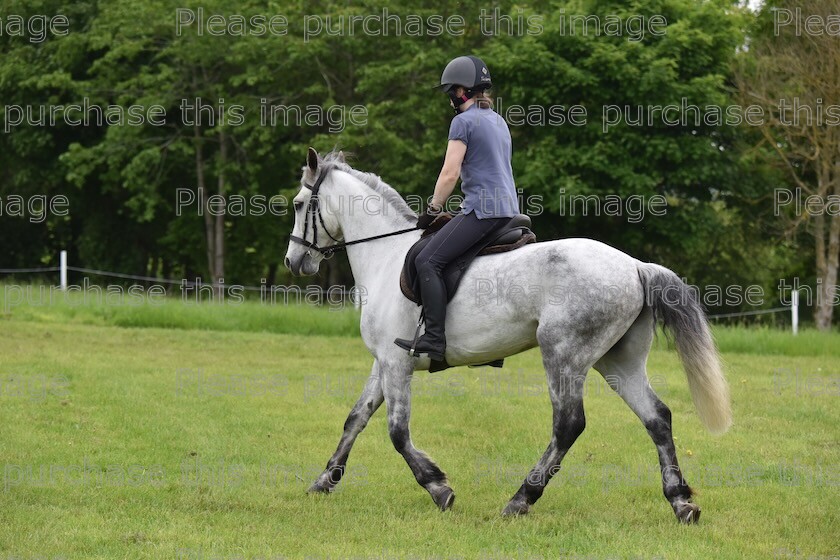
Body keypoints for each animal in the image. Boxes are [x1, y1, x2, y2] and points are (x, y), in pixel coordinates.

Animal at [282, 147, 728, 524]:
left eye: (300, 205)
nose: (294, 261)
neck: (385, 255)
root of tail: (635, 266)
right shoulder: (384, 362)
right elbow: (355, 418)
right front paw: (324, 481)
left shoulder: (396, 364)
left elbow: (397, 432)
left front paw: (438, 487)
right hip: (619, 361)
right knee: (657, 417)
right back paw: (681, 502)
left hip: (564, 354)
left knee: (568, 425)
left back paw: (520, 500)